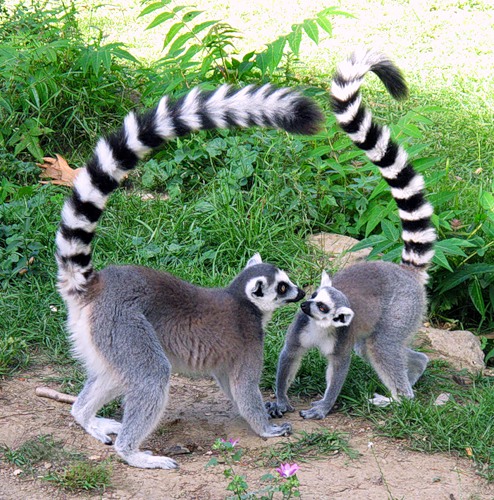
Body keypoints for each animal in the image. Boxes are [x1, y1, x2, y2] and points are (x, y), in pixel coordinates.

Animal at [55, 84, 323, 468]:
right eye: (284, 286)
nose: (302, 294)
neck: (244, 303)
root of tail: (96, 286)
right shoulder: (248, 339)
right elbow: (244, 388)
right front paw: (267, 428)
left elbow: (229, 384)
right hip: (122, 323)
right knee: (151, 375)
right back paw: (133, 453)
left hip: (101, 336)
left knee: (114, 374)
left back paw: (87, 418)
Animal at [266, 48, 436, 420]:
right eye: (315, 296)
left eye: (323, 307)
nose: (304, 304)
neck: (318, 329)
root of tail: (405, 273)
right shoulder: (299, 332)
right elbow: (289, 356)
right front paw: (280, 400)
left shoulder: (340, 338)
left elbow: (338, 368)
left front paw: (322, 408)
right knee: (380, 347)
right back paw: (415, 371)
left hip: (401, 311)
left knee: (381, 345)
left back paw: (400, 399)